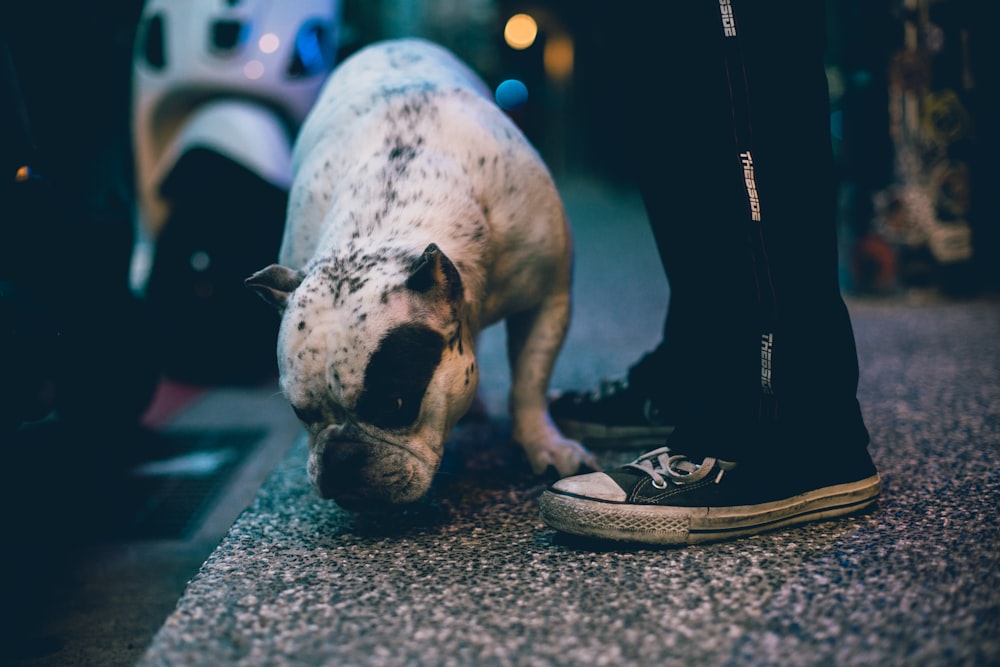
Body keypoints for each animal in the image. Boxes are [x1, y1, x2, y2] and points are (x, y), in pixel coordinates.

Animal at [248, 39, 592, 508]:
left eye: (395, 404)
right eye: (301, 413)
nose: (341, 459)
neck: (393, 215)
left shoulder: (548, 298)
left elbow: (529, 381)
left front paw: (544, 444)